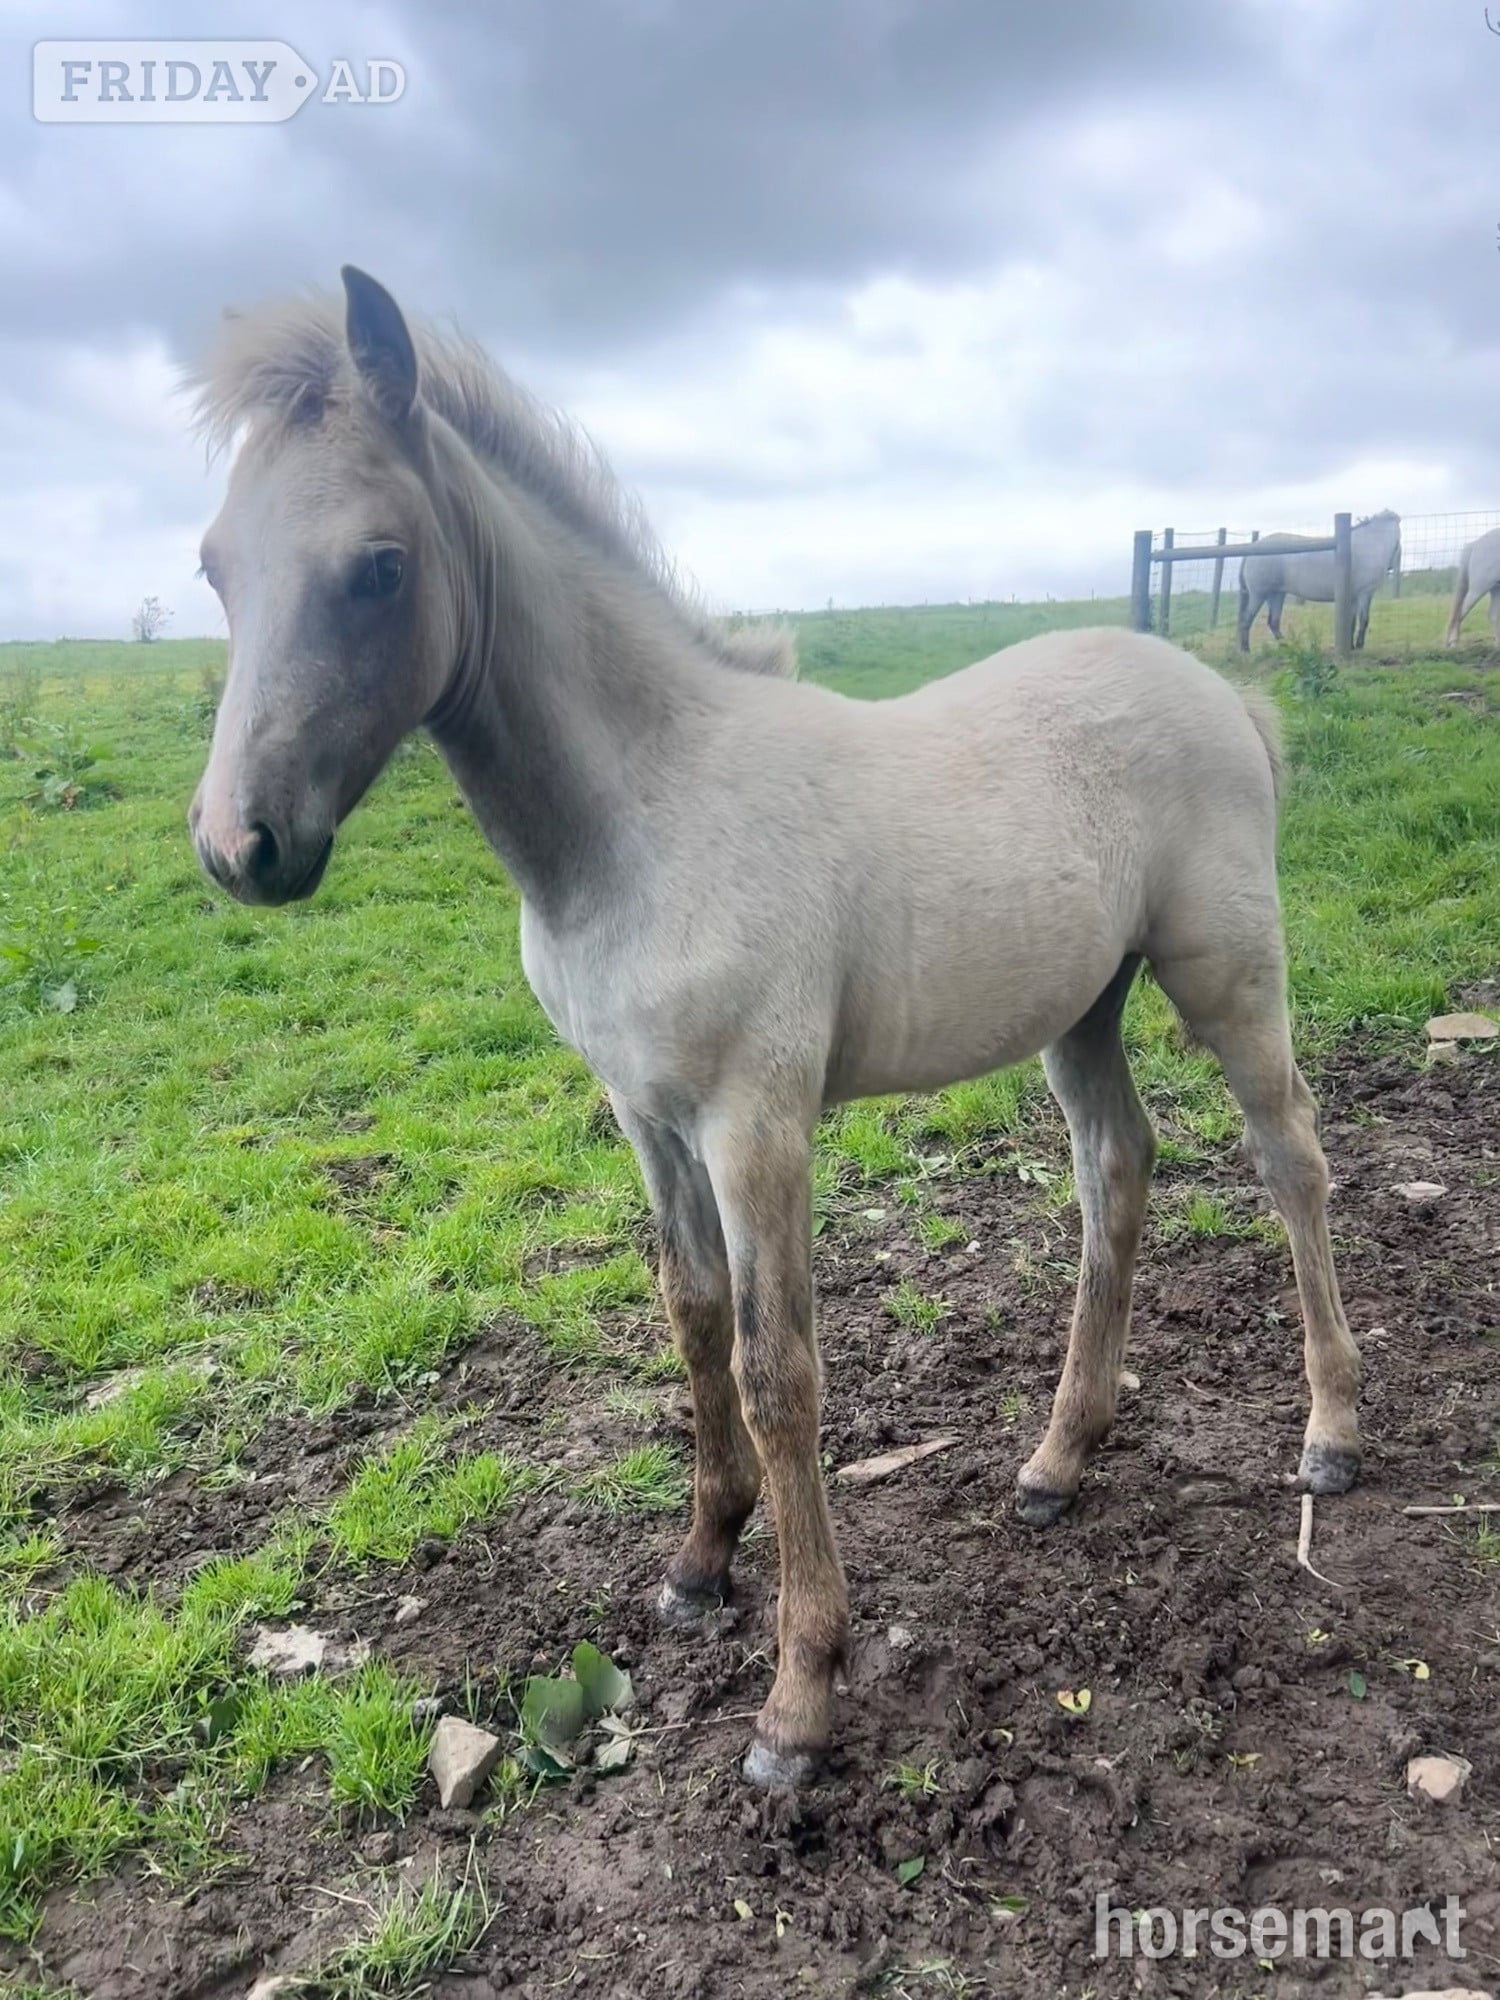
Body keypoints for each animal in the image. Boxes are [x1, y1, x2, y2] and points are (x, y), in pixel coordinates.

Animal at [187, 268, 1361, 1789]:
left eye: (379, 565)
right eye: (216, 565)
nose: (240, 846)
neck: (640, 815)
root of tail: (1223, 689)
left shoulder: (758, 1119)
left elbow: (775, 1366)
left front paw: (800, 1696)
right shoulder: (644, 1113)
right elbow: (690, 1316)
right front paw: (699, 1560)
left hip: (1224, 972)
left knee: (1292, 1162)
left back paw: (1331, 1433)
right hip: (1081, 1005)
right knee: (1120, 1165)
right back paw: (1058, 1461)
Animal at [1237, 511, 1401, 651]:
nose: (1391, 567)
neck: (1370, 544)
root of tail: (1252, 549)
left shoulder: (1353, 597)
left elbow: (1351, 621)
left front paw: (1351, 646)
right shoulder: (1365, 594)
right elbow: (1364, 620)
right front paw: (1359, 646)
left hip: (1276, 595)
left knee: (1273, 622)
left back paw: (1289, 648)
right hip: (1259, 594)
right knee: (1246, 620)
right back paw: (1246, 651)